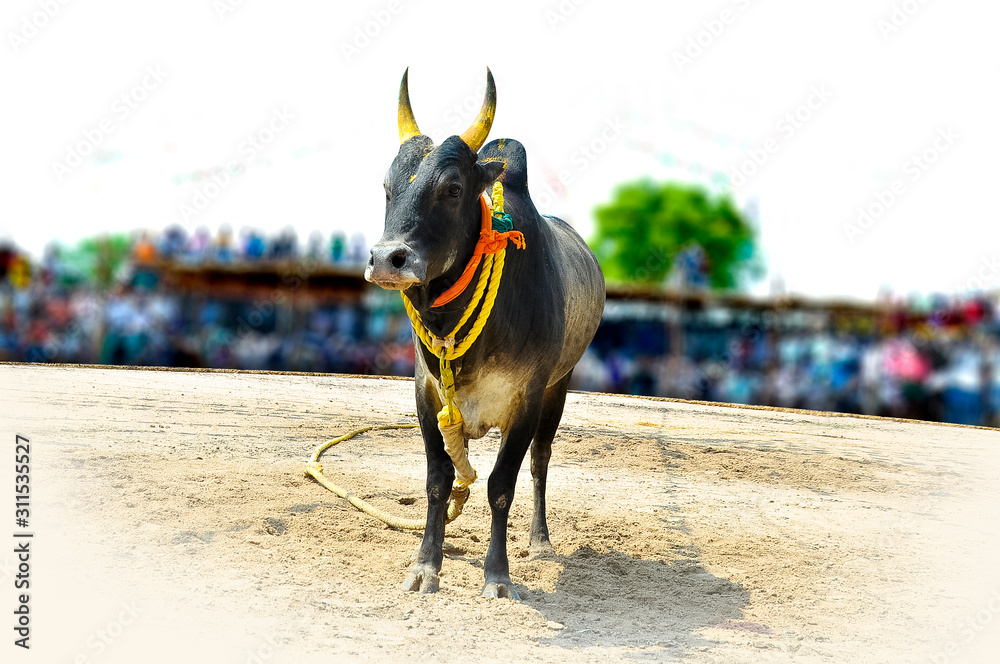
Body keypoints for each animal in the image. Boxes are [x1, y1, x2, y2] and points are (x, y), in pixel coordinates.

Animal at [365, 68, 605, 599]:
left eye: (453, 188)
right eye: (387, 186)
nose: (387, 259)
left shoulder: (527, 399)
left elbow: (501, 487)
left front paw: (498, 575)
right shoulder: (428, 395)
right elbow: (438, 480)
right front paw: (426, 565)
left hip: (559, 388)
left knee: (539, 462)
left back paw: (539, 541)